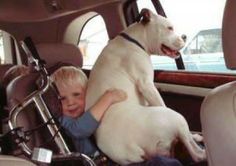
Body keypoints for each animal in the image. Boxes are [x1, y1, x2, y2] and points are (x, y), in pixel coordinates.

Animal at [85, 8, 206, 165]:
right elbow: (161, 102)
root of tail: (133, 148)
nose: (184, 36)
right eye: (169, 28)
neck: (136, 40)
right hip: (176, 118)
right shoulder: (147, 85)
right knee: (196, 153)